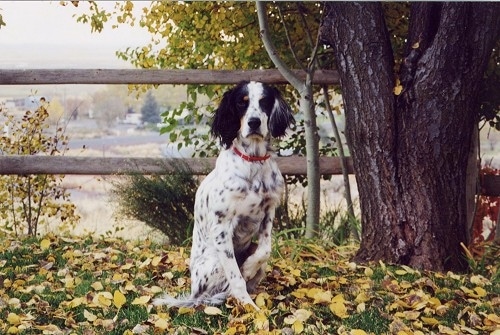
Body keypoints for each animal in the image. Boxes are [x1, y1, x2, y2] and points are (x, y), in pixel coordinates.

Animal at [154, 80, 294, 310]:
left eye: (264, 101)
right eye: (241, 103)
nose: (254, 122)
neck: (253, 162)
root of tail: (193, 292)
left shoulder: (268, 212)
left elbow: (265, 250)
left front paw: (248, 267)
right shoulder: (222, 227)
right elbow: (236, 279)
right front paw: (251, 309)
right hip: (214, 263)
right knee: (218, 292)